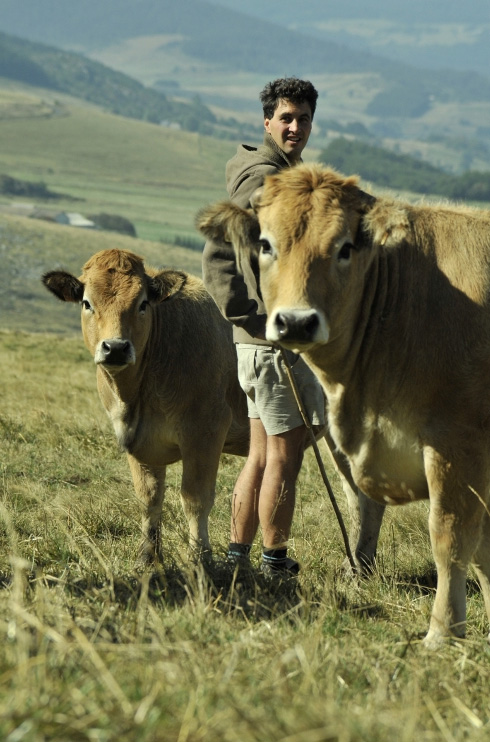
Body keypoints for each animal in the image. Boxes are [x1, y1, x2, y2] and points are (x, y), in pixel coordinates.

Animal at [41, 251, 249, 568]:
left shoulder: (206, 429)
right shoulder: (138, 439)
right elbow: (149, 497)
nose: (115, 348)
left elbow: (196, 499)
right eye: (87, 303)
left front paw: (199, 559)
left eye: (142, 304)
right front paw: (147, 557)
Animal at [196, 166, 490, 648]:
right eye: (265, 244)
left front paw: (443, 631)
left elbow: (451, 538)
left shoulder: (457, 443)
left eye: (345, 247)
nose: (296, 322)